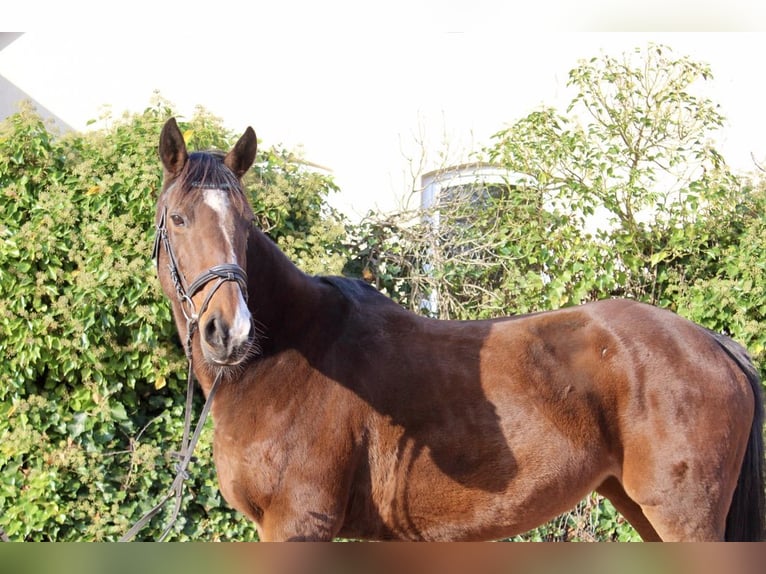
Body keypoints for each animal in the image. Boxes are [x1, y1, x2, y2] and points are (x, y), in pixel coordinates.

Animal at [153, 119, 764, 544]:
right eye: (178, 219)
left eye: (247, 221)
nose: (229, 330)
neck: (286, 357)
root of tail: (713, 342)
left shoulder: (299, 522)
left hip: (682, 515)